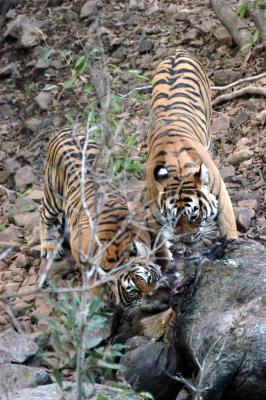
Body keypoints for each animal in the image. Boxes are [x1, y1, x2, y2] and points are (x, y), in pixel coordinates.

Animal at [39, 128, 160, 306]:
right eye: (133, 292)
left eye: (149, 278)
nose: (152, 294)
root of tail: (64, 130)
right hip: (54, 194)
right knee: (43, 213)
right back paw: (49, 247)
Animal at [147, 48, 238, 264]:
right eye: (173, 220)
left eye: (194, 217)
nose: (187, 241)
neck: (177, 168)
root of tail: (177, 50)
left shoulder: (221, 194)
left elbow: (228, 222)